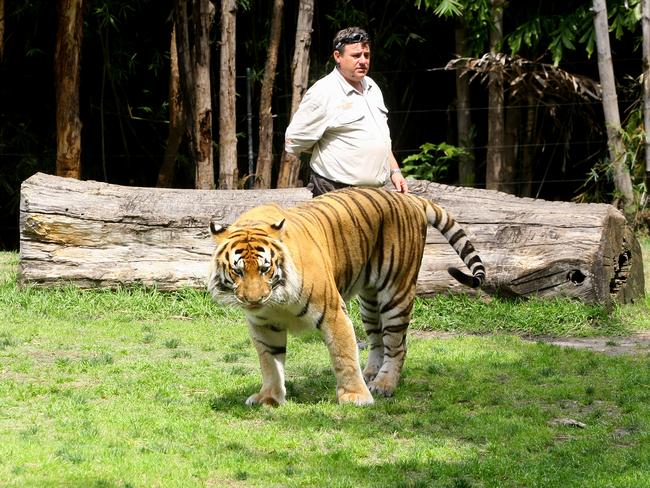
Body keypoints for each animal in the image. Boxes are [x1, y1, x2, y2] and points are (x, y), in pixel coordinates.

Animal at [205, 185, 484, 406]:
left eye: (265, 269)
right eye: (238, 271)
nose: (253, 300)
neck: (276, 300)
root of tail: (408, 198)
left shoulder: (333, 312)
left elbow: (344, 355)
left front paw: (355, 397)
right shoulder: (263, 325)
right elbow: (269, 362)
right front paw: (269, 398)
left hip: (397, 292)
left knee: (397, 345)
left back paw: (383, 384)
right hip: (369, 301)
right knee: (377, 340)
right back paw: (371, 374)